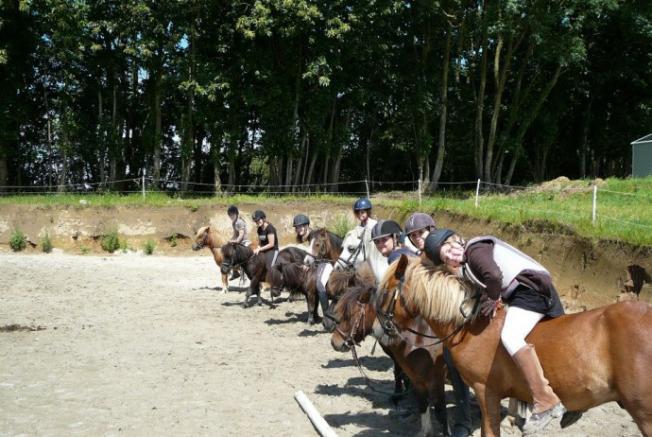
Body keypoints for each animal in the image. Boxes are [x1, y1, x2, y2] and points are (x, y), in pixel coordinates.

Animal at [332, 284, 448, 434]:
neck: (420, 338)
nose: (334, 342)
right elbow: (422, 405)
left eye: (348, 315)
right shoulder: (418, 381)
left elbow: (441, 414)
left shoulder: (436, 382)